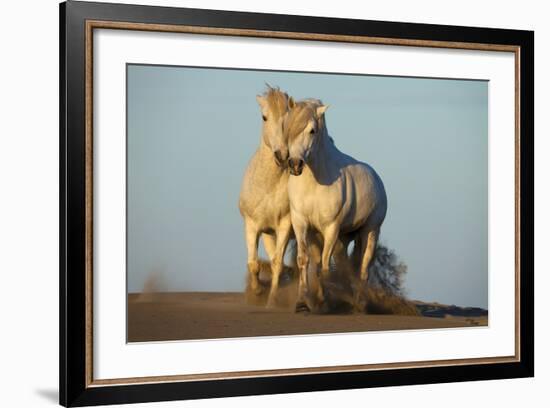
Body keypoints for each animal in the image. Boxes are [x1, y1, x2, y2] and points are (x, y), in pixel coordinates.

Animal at [239, 87, 296, 308]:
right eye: (264, 117)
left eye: (289, 118)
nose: (282, 155)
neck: (267, 186)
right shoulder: (252, 225)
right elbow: (254, 263)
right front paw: (257, 291)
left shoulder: (285, 226)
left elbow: (277, 264)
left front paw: (271, 301)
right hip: (268, 235)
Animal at [284, 99, 388, 312]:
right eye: (288, 127)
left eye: (312, 130)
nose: (295, 164)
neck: (314, 183)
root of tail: (377, 179)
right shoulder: (301, 224)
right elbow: (305, 261)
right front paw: (302, 303)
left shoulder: (331, 228)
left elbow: (324, 264)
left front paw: (323, 301)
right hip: (344, 238)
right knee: (345, 265)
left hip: (370, 231)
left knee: (363, 267)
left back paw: (360, 305)